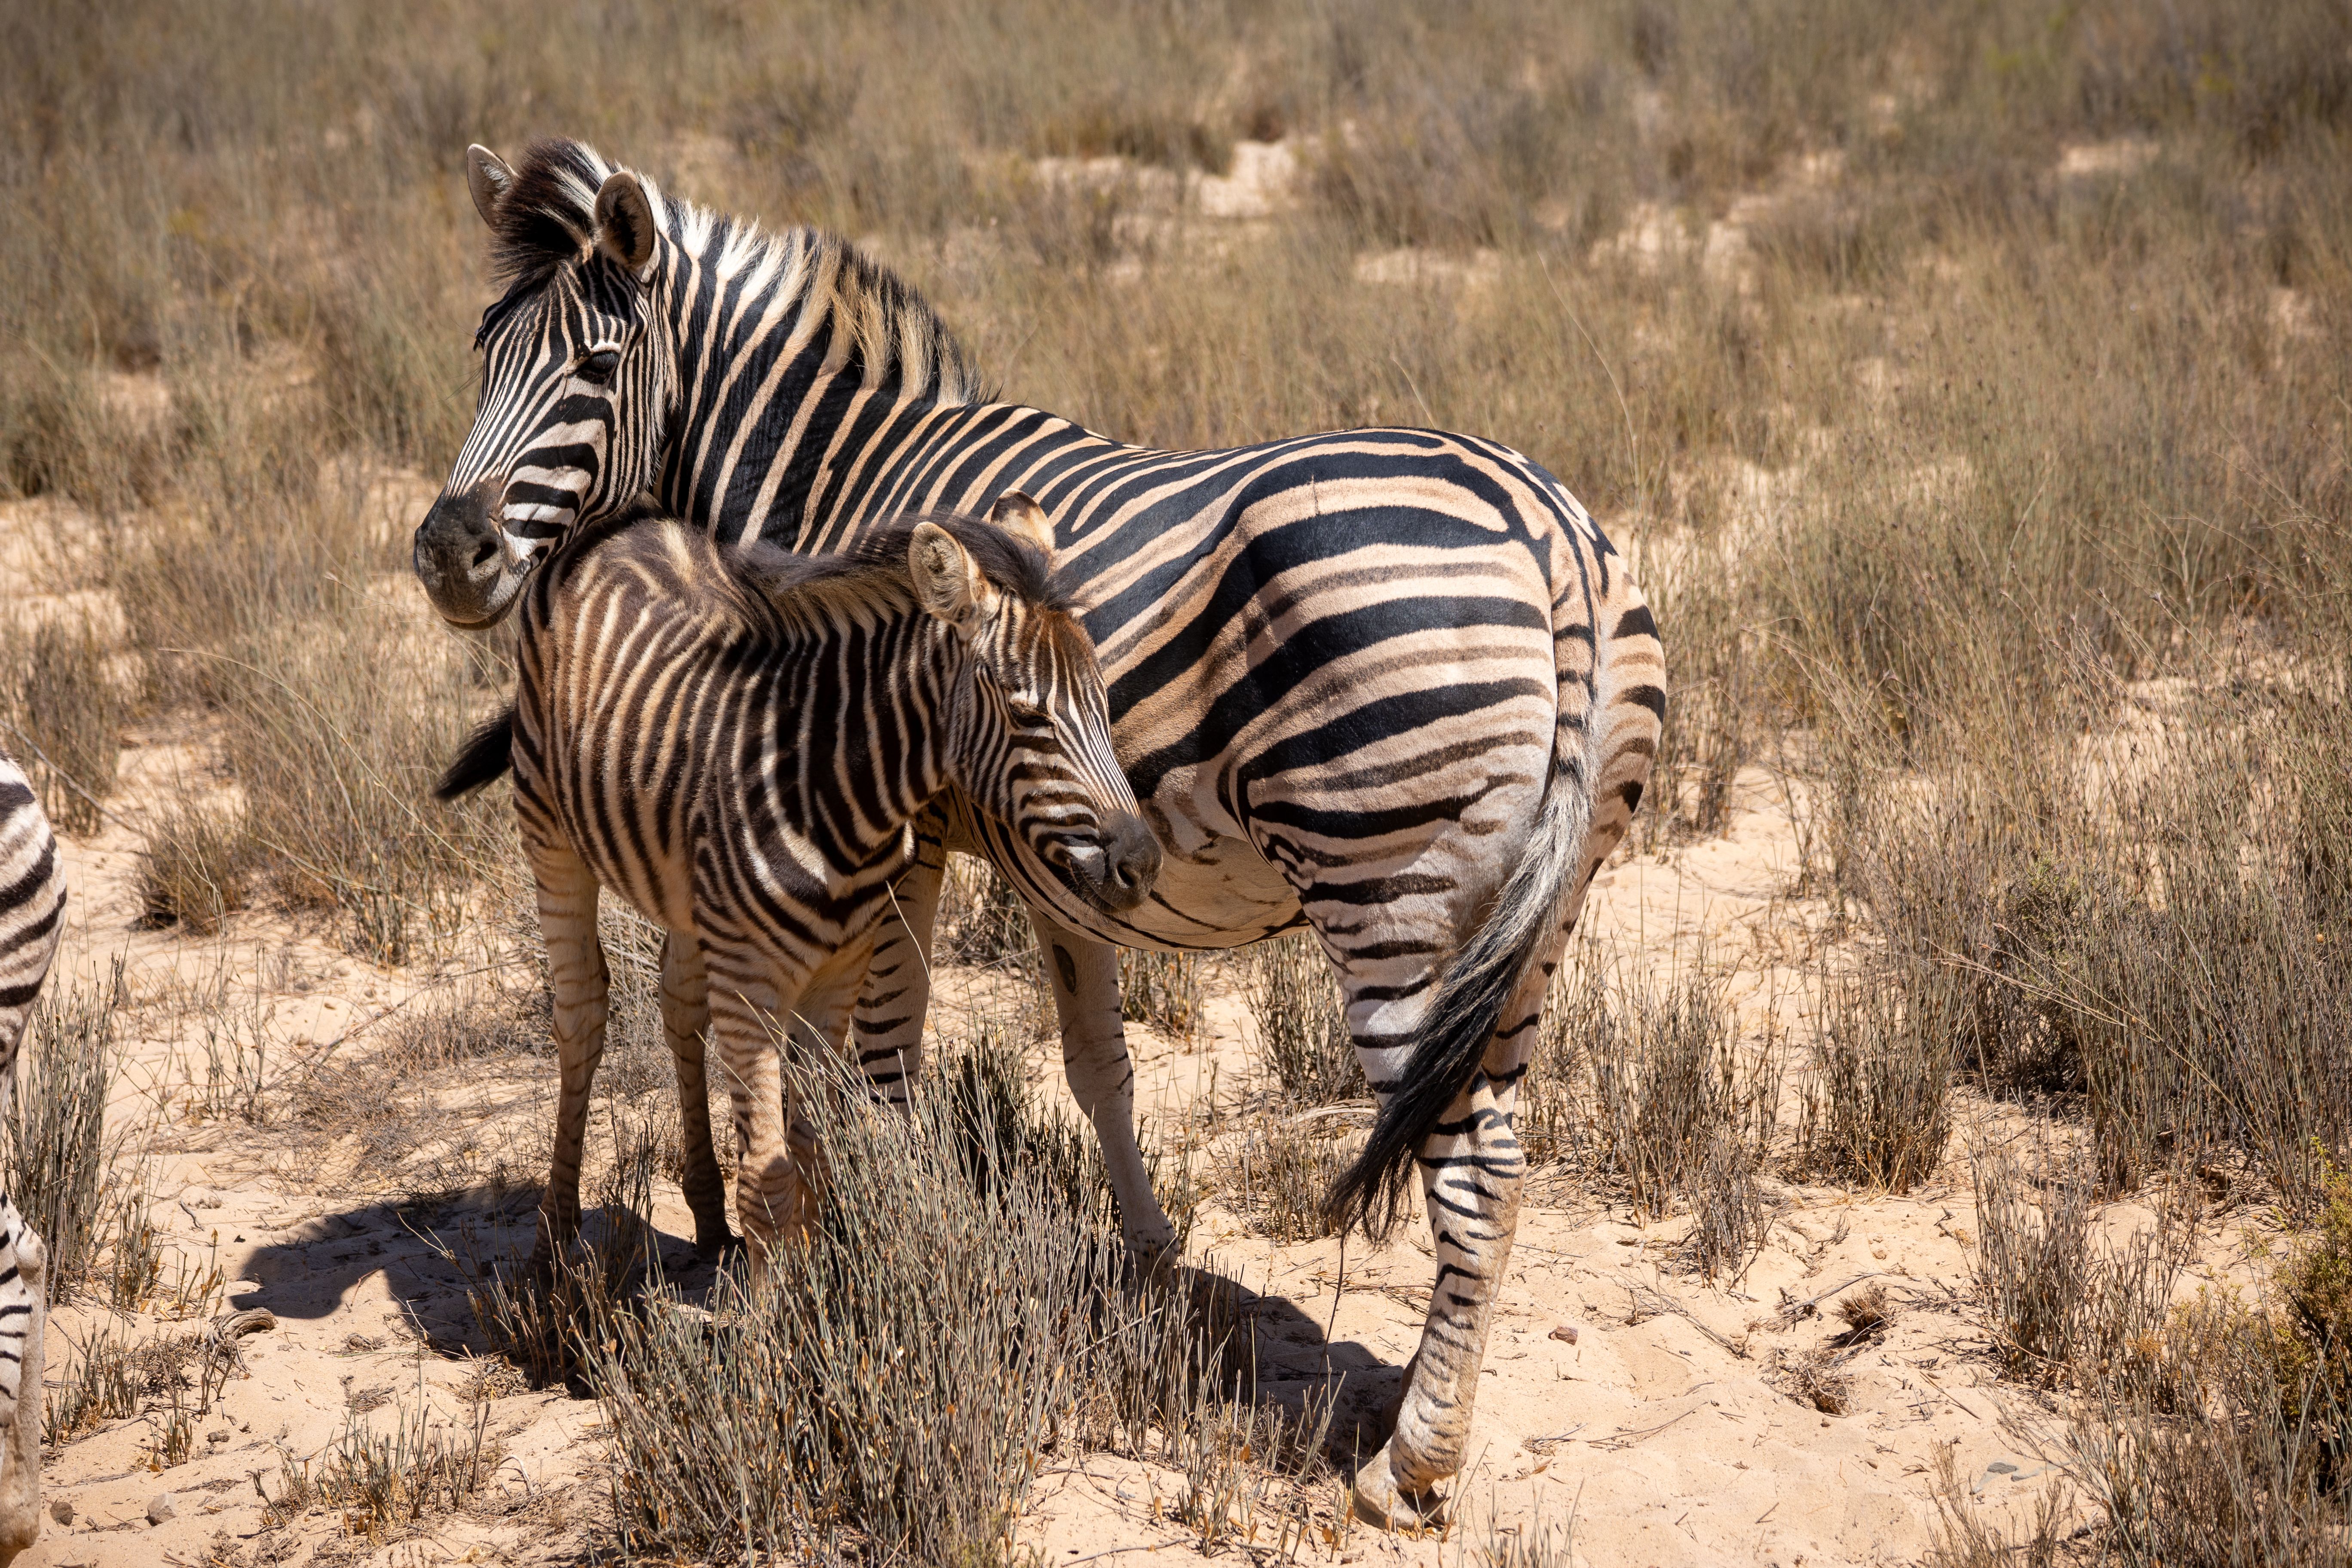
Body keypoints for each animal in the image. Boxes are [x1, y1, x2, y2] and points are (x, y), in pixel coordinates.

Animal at [435, 496, 1158, 1266]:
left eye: (1106, 704)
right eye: (1027, 716)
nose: (1143, 865)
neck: (834, 792)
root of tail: (621, 521)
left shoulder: (839, 975)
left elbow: (809, 1161)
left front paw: (814, 1285)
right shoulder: (750, 988)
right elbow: (768, 1183)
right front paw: (773, 1302)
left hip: (690, 895)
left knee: (678, 1004)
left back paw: (706, 1216)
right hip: (549, 832)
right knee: (581, 1016)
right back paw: (556, 1241)